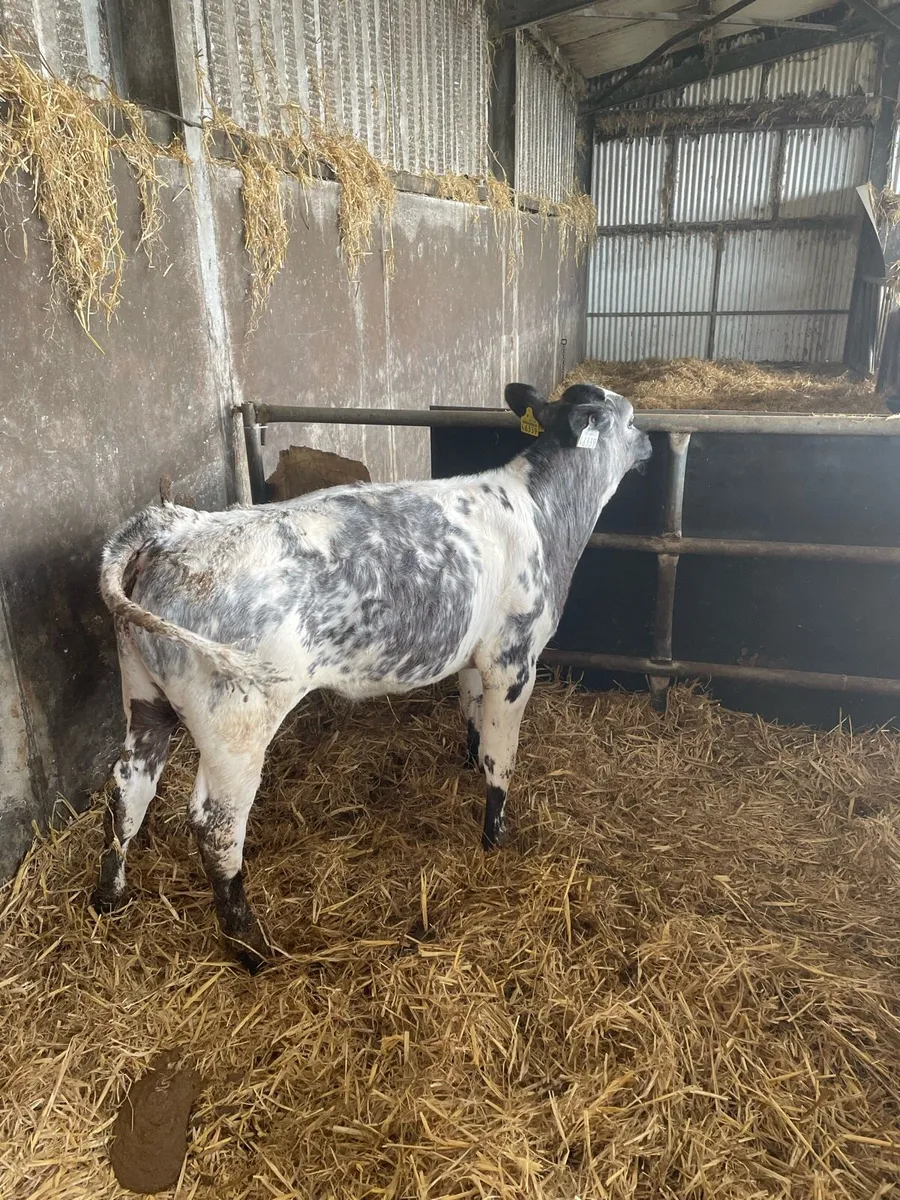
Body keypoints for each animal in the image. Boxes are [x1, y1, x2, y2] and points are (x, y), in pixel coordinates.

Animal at [91, 382, 652, 971]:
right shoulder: (513, 658)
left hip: (145, 696)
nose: (650, 443)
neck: (542, 512)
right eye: (630, 417)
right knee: (215, 826)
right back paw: (250, 946)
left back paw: (109, 897)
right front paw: (494, 838)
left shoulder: (473, 655)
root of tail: (175, 528)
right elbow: (503, 759)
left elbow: (473, 718)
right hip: (236, 723)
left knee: (127, 789)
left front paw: (467, 761)